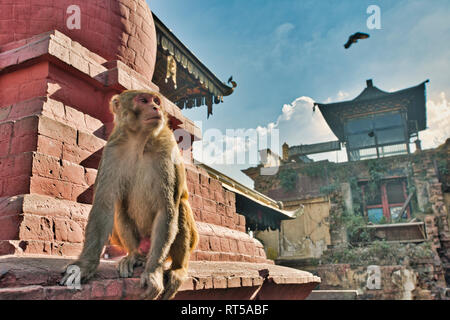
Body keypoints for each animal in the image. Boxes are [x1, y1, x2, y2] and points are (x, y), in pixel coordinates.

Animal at [60, 89, 199, 300]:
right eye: (143, 100)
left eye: (156, 101)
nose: (155, 107)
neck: (140, 142)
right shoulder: (112, 150)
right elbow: (104, 205)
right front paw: (84, 266)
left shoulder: (167, 150)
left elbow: (166, 209)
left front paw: (152, 273)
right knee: (119, 207)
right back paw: (135, 256)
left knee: (180, 207)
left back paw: (177, 268)